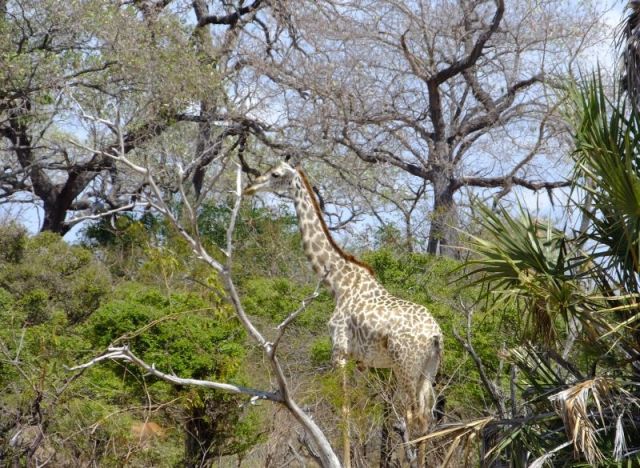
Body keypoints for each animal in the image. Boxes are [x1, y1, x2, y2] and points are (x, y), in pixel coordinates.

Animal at [244, 160, 443, 467]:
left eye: (275, 174)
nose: (250, 187)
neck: (338, 282)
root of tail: (435, 335)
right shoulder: (360, 360)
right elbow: (357, 409)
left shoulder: (339, 349)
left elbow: (345, 408)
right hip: (429, 370)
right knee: (427, 416)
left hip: (405, 366)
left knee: (414, 415)